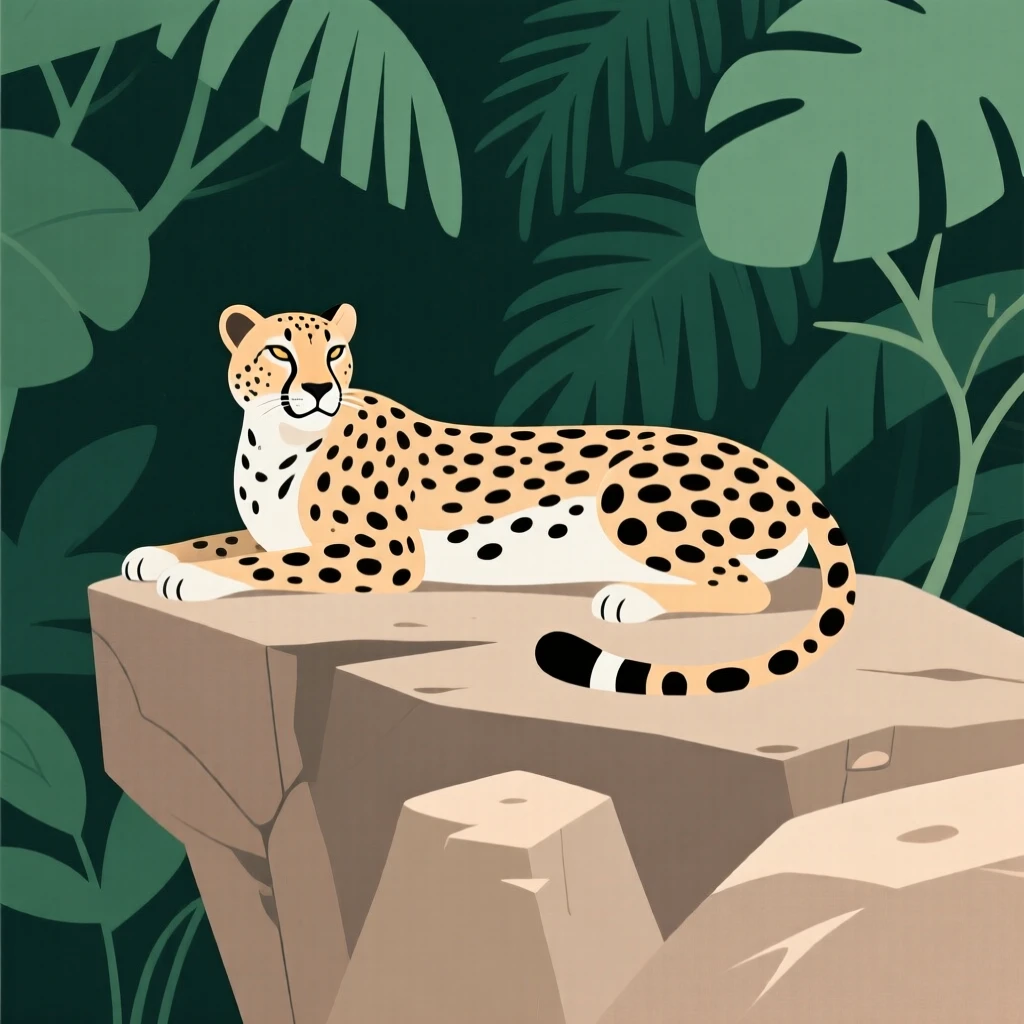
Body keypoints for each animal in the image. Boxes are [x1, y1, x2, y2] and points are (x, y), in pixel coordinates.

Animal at [122, 301, 857, 696]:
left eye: (334, 353)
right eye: (279, 350)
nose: (320, 390)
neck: (276, 437)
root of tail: (782, 468)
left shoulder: (384, 556)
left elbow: (262, 564)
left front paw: (190, 579)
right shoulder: (273, 530)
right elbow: (222, 539)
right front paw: (152, 555)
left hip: (630, 495)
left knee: (744, 588)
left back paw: (629, 598)